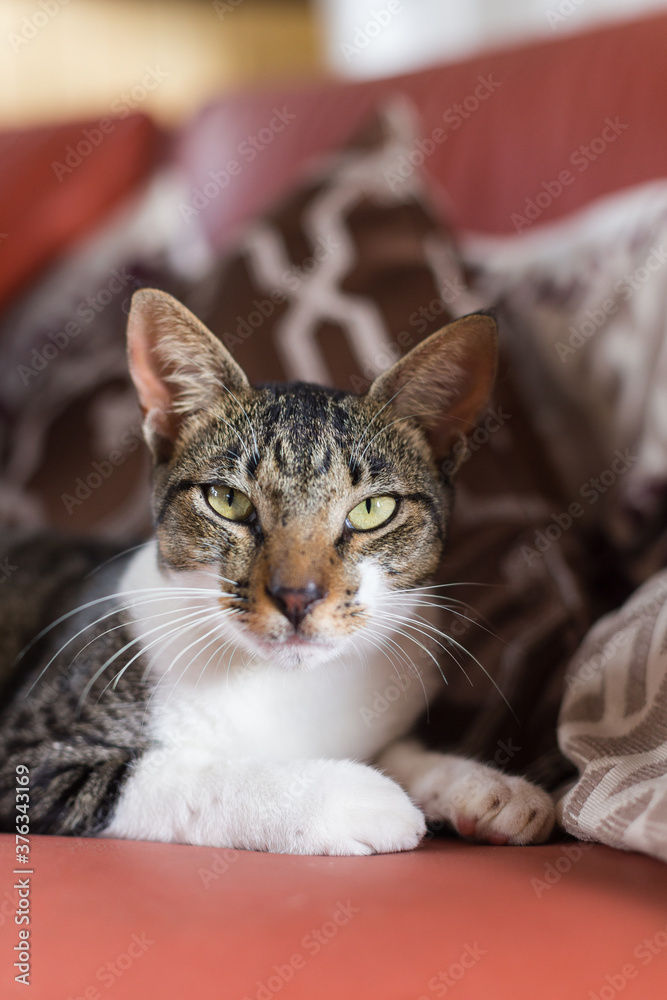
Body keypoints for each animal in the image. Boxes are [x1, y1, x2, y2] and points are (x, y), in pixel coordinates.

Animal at [0, 288, 556, 852]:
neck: (290, 687)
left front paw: (488, 789)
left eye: (372, 510)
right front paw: (351, 797)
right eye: (227, 500)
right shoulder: (28, 757)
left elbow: (398, 751)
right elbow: (179, 776)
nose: (296, 596)